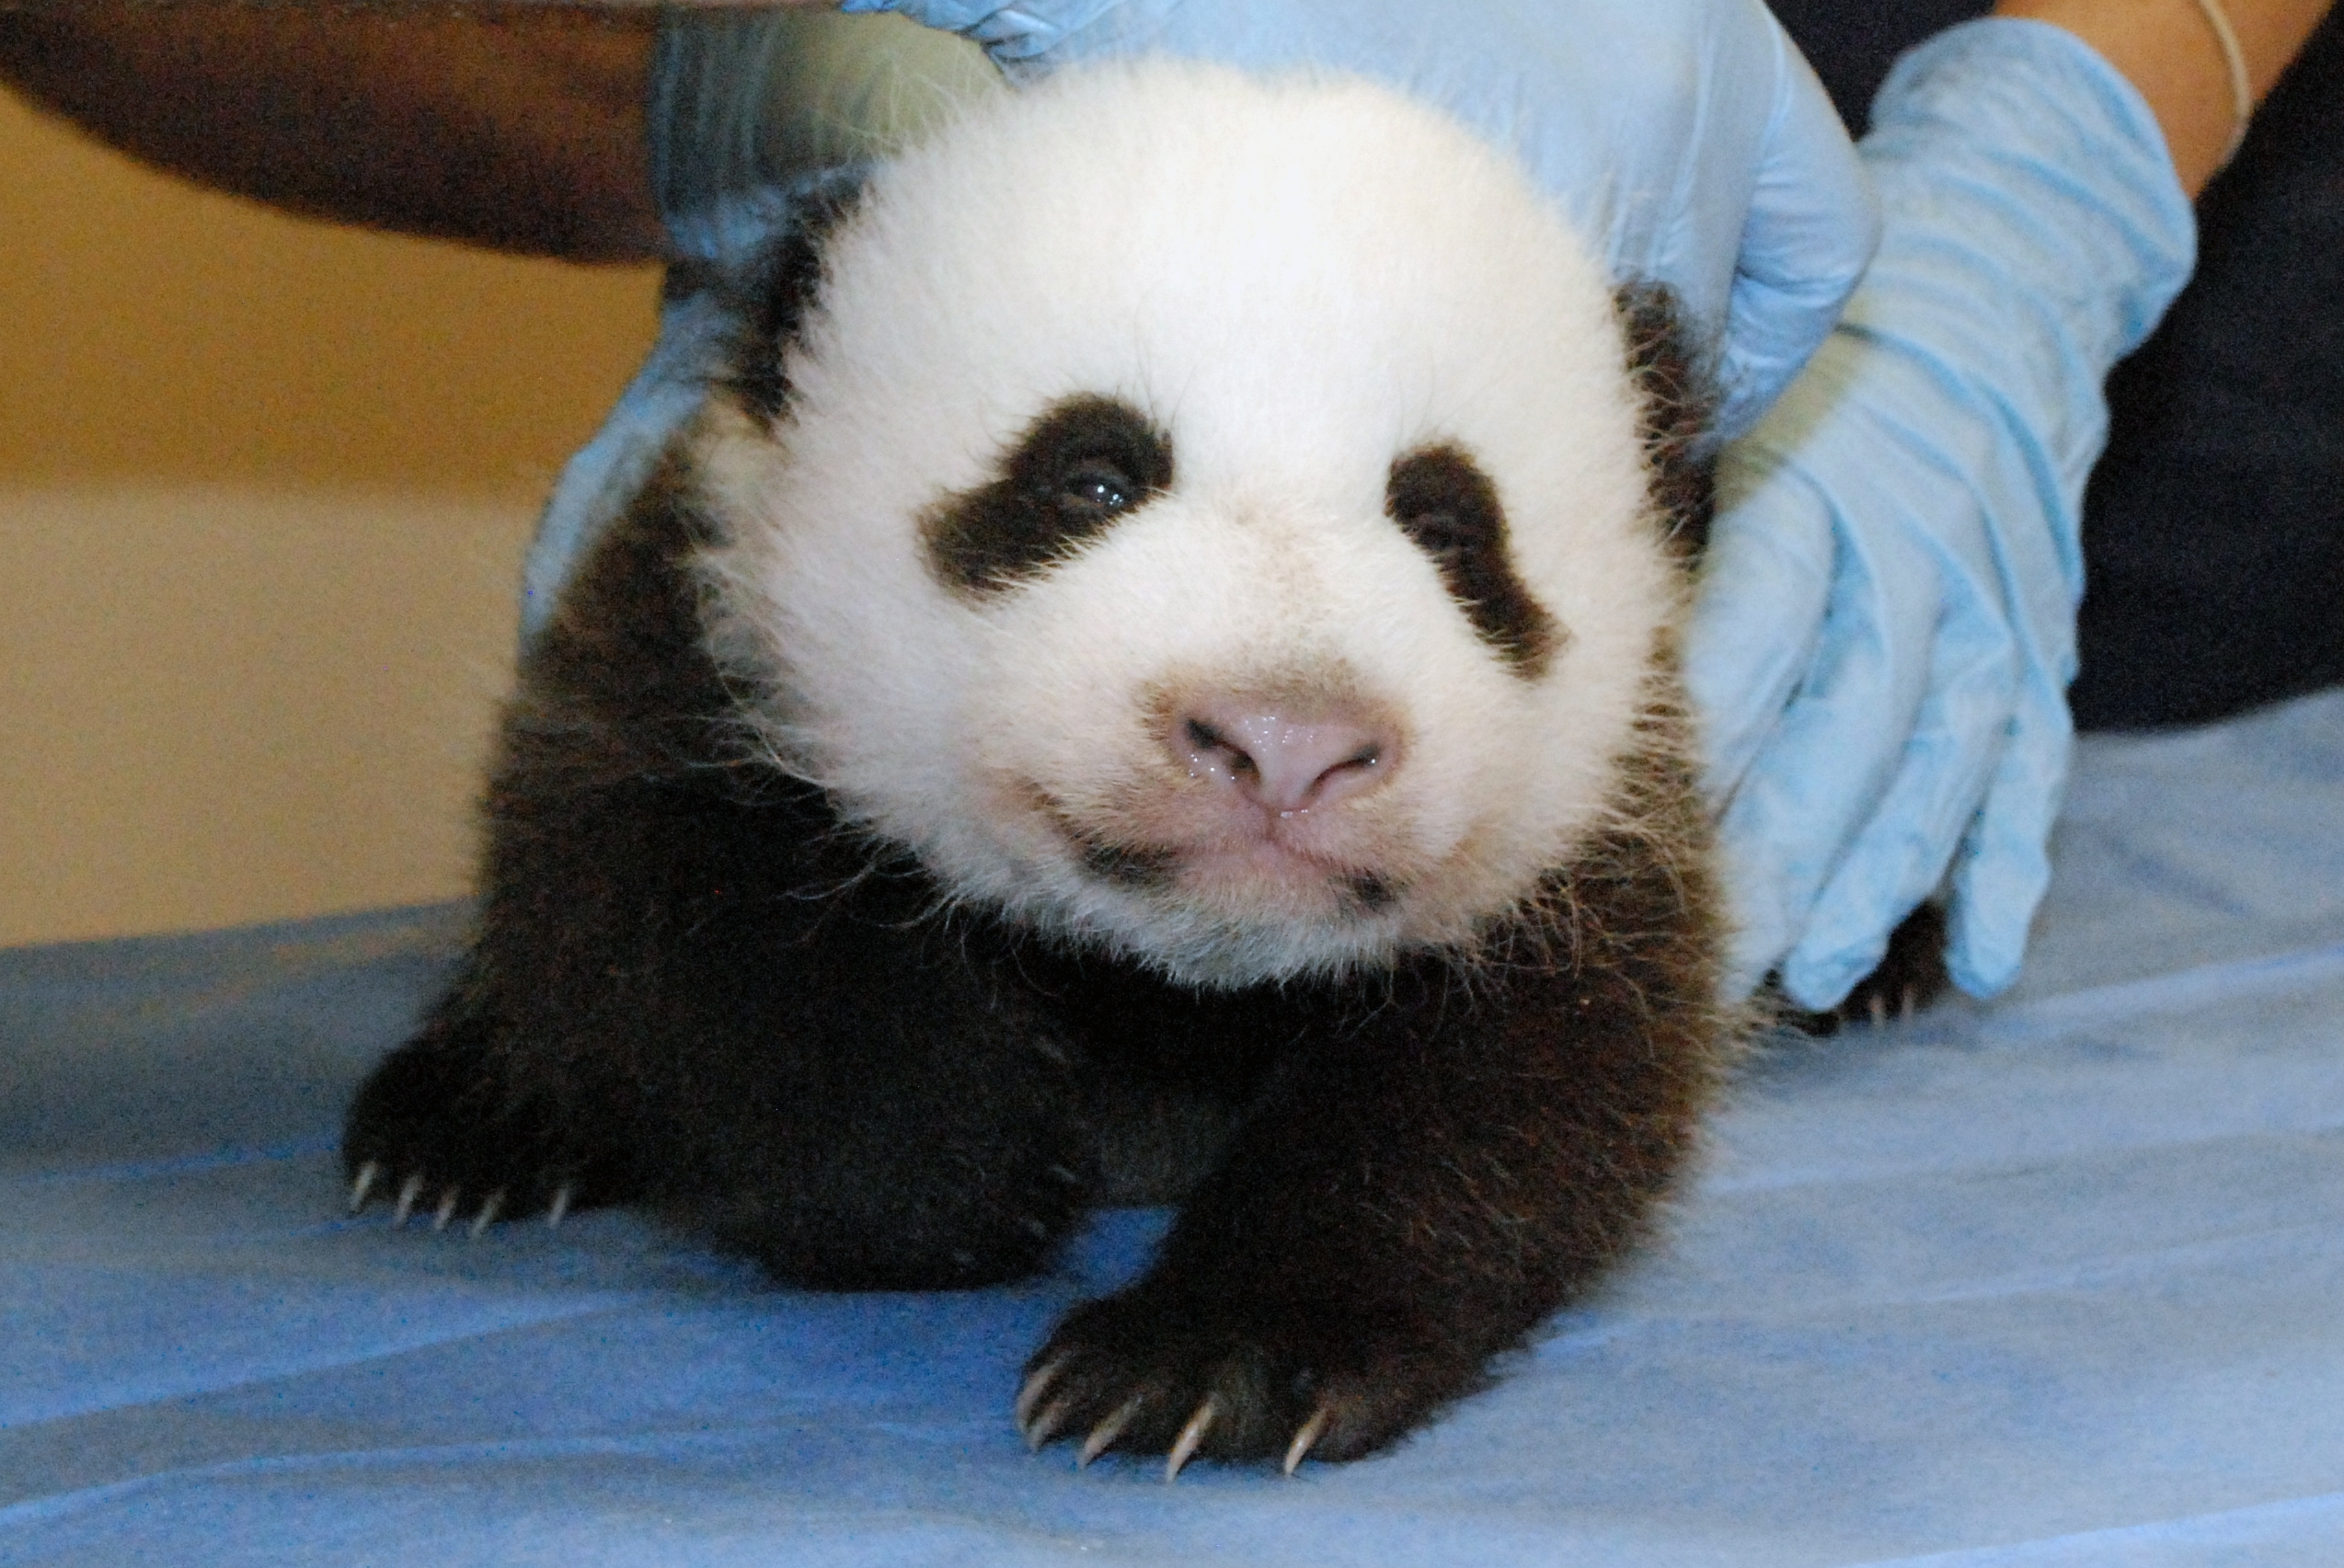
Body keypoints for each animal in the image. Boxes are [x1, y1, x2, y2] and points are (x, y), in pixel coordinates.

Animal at [343, 60, 1738, 1476]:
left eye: (1450, 526)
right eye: (1092, 477)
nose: (1283, 742)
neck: (1175, 983)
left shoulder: (1613, 807)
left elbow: (1527, 1078)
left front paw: (1208, 1361)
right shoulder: (696, 625)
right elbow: (656, 908)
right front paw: (965, 1158)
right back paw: (461, 1127)